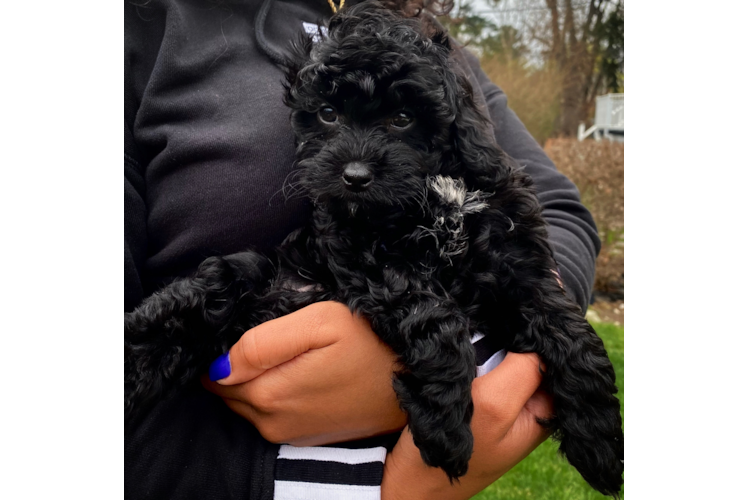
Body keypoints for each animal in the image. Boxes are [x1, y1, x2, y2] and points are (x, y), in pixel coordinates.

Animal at [124, 3, 624, 496]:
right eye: (327, 114)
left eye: (403, 119)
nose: (354, 176)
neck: (434, 189)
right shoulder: (365, 254)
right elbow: (435, 316)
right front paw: (445, 422)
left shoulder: (520, 262)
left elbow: (571, 333)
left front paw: (600, 441)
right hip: (252, 275)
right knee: (196, 298)